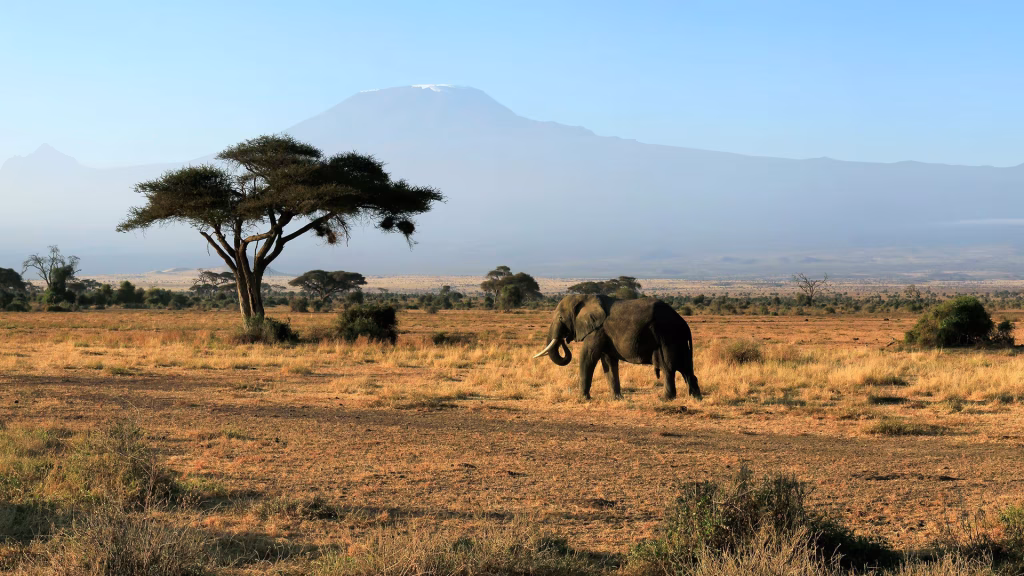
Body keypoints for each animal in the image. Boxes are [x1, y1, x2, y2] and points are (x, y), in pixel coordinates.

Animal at [533, 295, 701, 400]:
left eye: (561, 318)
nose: (564, 339)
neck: (584, 298)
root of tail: (684, 324)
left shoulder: (597, 330)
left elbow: (588, 356)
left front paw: (582, 398)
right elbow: (608, 362)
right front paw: (616, 398)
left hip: (668, 335)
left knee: (669, 367)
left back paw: (665, 399)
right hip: (678, 340)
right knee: (686, 369)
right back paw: (695, 398)